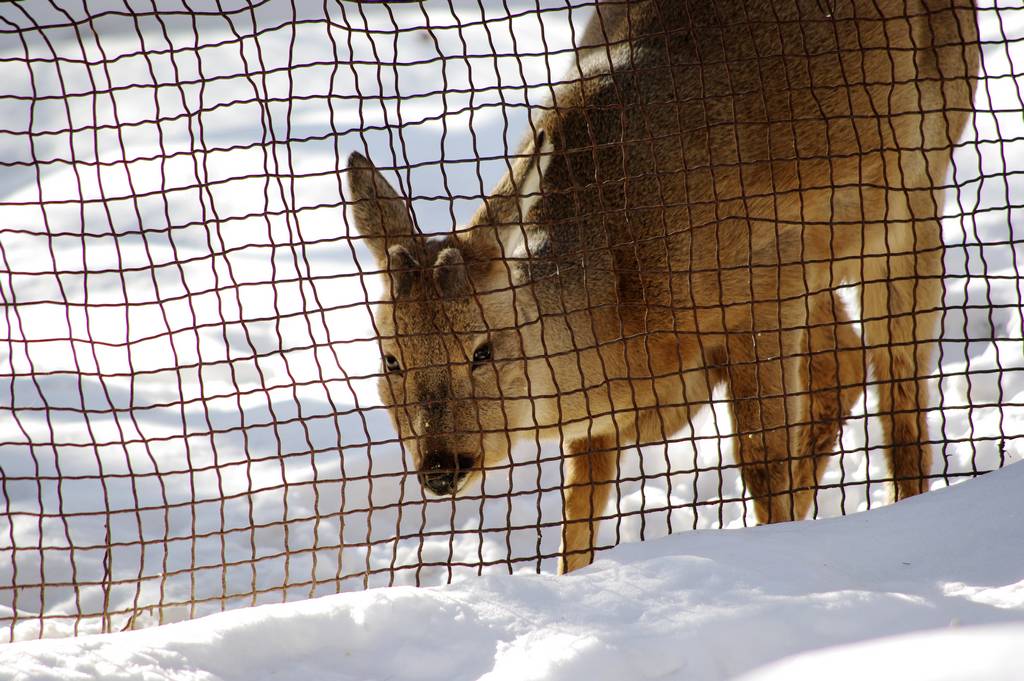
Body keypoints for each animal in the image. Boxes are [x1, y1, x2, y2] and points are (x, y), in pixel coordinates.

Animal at [348, 0, 978, 573]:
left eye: (482, 349)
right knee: (844, 363)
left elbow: (761, 460)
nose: (439, 466)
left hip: (916, 189)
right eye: (391, 359)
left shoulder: (763, 286)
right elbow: (579, 508)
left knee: (899, 399)